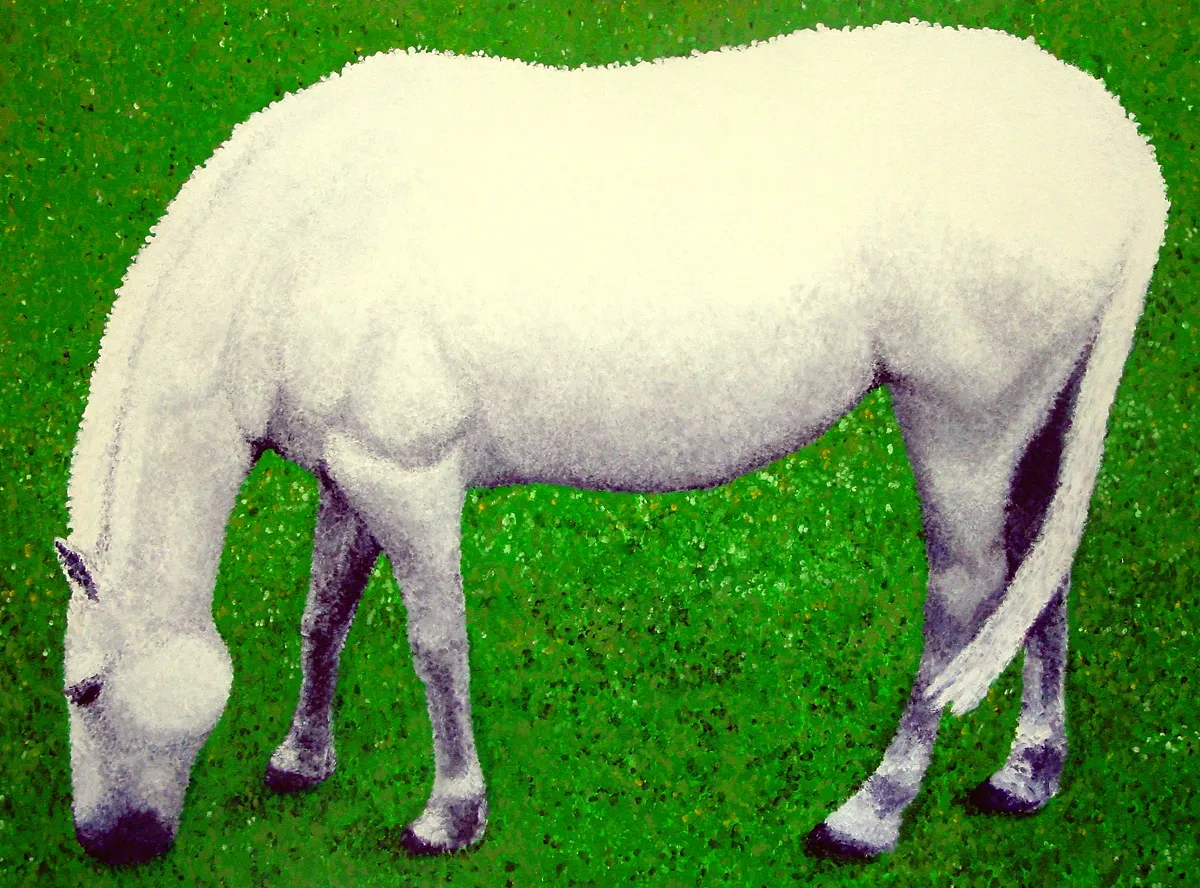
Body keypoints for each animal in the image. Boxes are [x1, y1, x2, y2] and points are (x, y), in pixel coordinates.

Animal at [56, 20, 1167, 865]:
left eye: (85, 688)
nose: (112, 844)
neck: (300, 239)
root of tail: (1116, 148)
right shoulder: (351, 473)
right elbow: (323, 615)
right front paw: (301, 759)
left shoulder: (409, 481)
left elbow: (435, 645)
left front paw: (448, 815)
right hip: (1035, 421)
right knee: (1042, 575)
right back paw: (1027, 772)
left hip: (961, 425)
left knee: (967, 598)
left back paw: (872, 811)